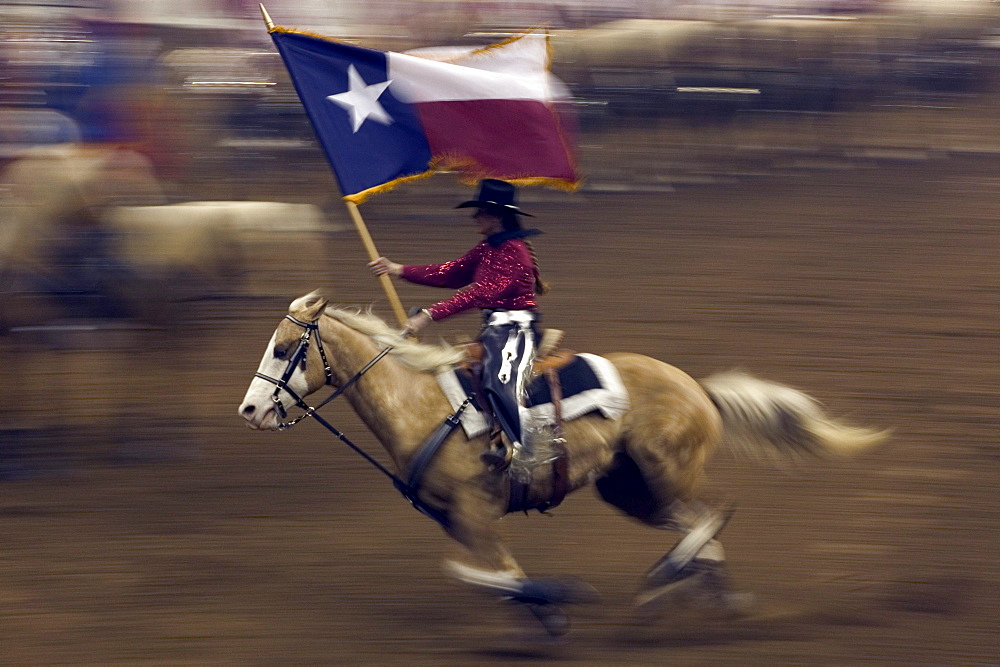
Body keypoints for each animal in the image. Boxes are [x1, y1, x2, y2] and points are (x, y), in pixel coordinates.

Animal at [238, 294, 888, 636]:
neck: (423, 405)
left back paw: (664, 582)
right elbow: (500, 579)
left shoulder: (475, 512)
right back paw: (700, 596)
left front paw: (558, 601)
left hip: (663, 471)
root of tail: (697, 388)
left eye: (284, 347)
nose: (249, 409)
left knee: (712, 515)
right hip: (628, 489)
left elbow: (499, 575)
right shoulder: (455, 520)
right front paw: (547, 610)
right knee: (703, 531)